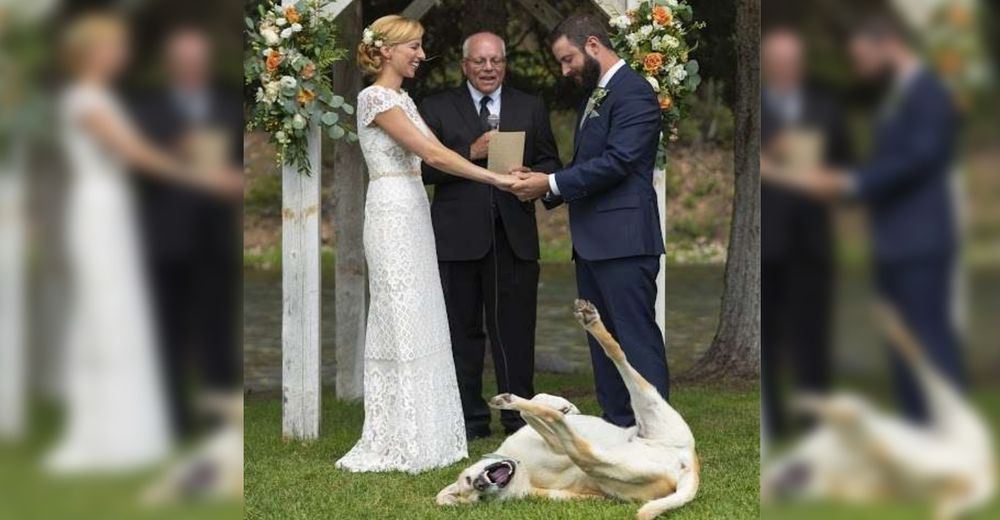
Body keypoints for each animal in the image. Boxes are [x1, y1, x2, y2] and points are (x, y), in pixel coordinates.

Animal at [434, 298, 700, 516]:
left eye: (468, 480)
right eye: (479, 498)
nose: (480, 484)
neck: (520, 465)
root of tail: (687, 466)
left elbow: (533, 408)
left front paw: (563, 406)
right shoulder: (556, 453)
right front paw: (553, 408)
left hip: (652, 408)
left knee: (617, 355)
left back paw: (590, 321)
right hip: (615, 453)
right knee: (578, 444)